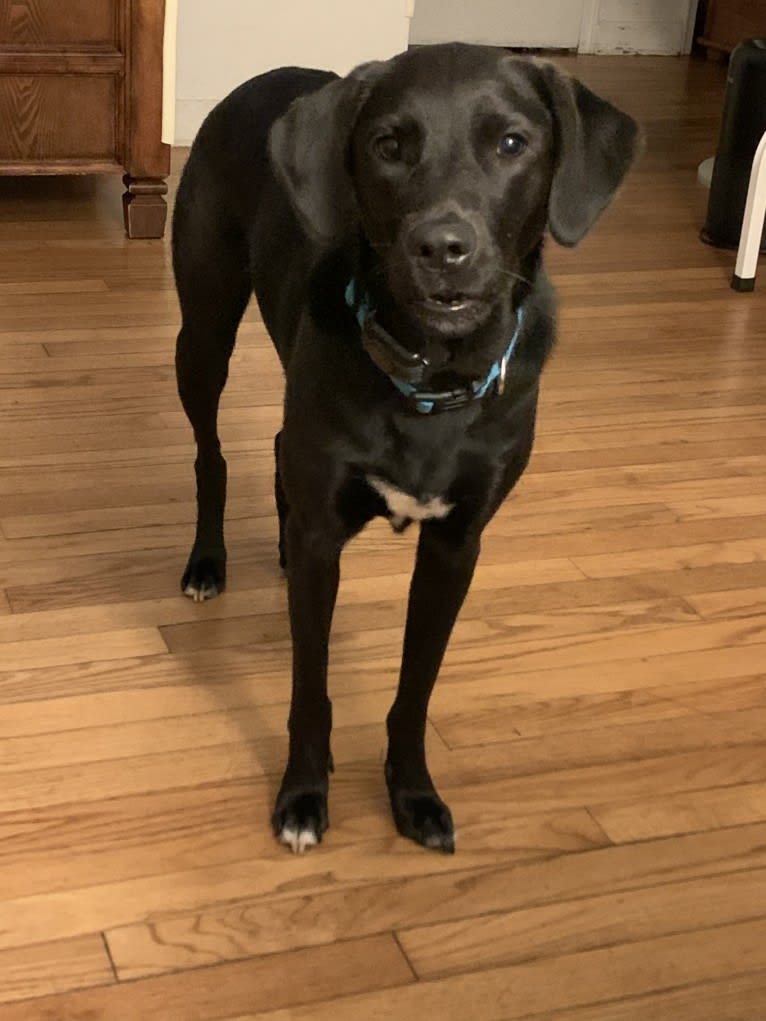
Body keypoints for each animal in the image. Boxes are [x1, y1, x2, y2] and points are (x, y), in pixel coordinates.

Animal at [175, 41, 641, 853]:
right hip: (202, 331)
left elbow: (416, 686)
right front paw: (304, 793)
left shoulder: (456, 546)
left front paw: (413, 793)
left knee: (277, 447)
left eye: (512, 143)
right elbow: (311, 684)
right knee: (213, 453)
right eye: (388, 145)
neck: (433, 375)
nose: (442, 248)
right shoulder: (325, 544)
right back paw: (208, 561)